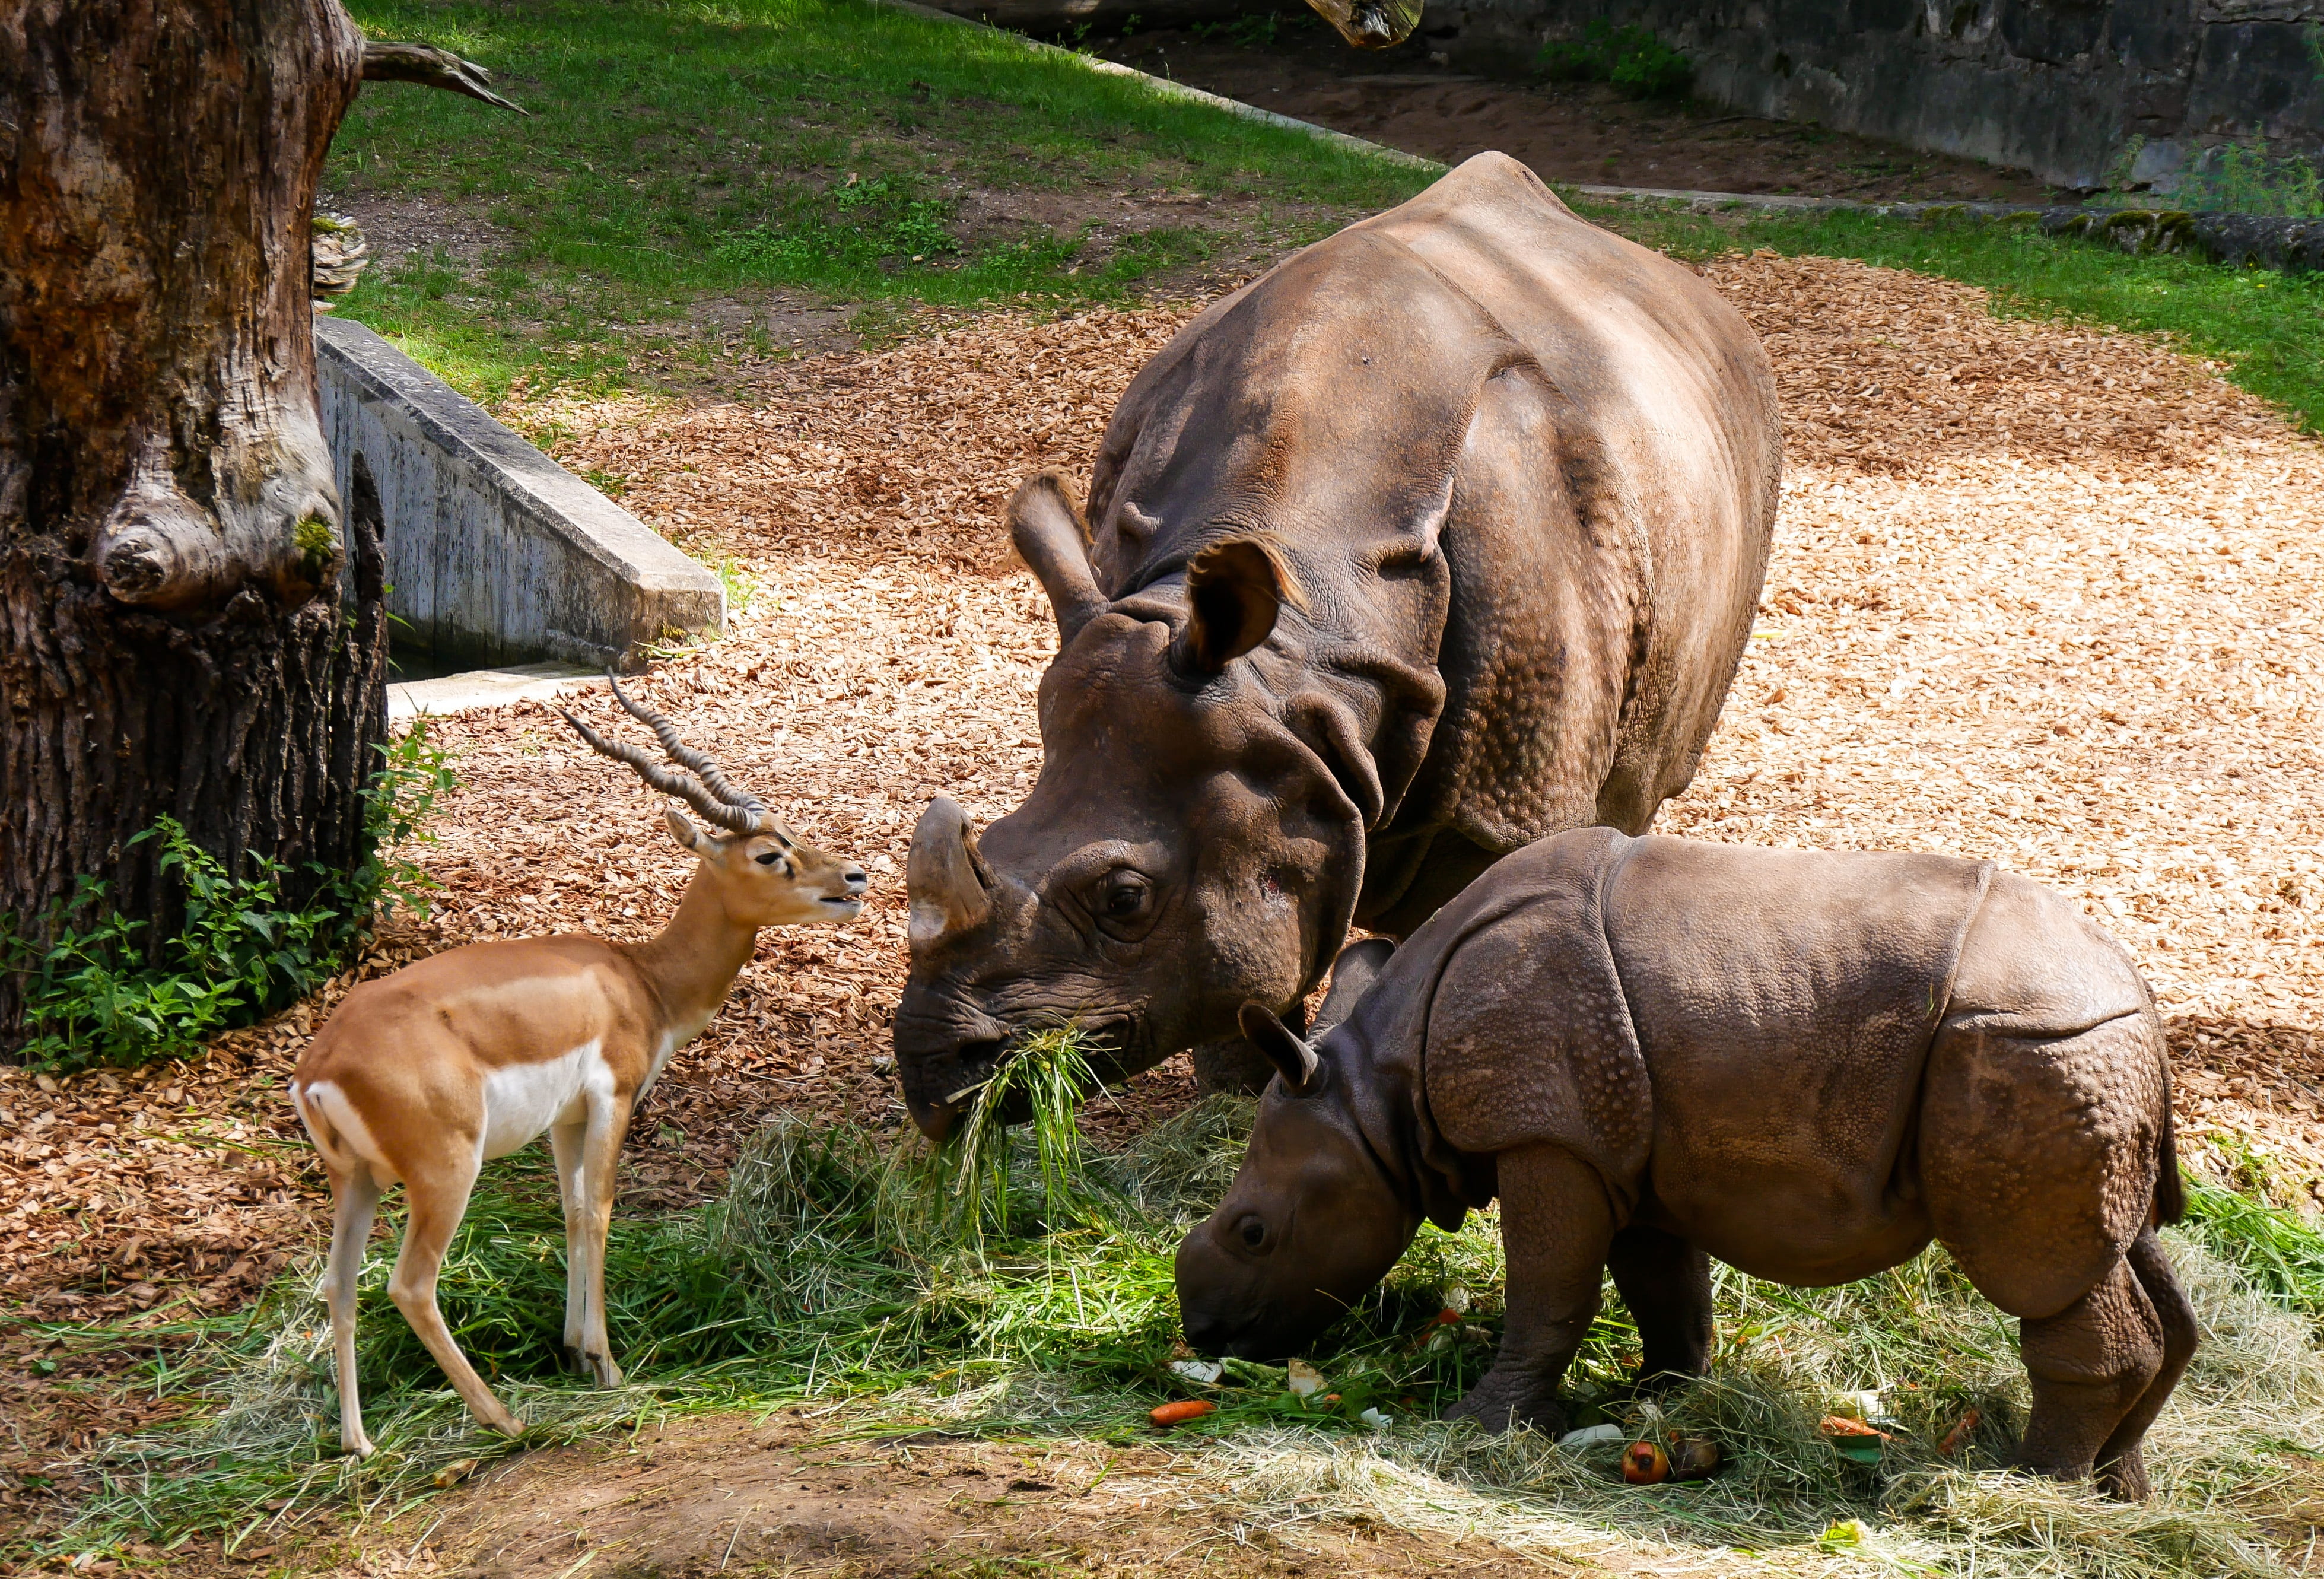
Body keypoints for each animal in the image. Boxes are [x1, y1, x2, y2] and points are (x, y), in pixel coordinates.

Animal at [290, 680, 866, 1457]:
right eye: (771, 854)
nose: (854, 877)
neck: (640, 979)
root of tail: (320, 1065)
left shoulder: (562, 1122)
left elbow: (566, 1212)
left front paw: (571, 1351)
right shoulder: (613, 1098)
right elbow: (599, 1209)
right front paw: (605, 1362)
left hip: (354, 1179)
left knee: (338, 1284)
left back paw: (359, 1443)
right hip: (445, 1172)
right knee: (409, 1285)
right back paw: (503, 1418)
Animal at [895, 153, 1781, 1138]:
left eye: (1125, 899)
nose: (931, 1070)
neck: (1309, 643)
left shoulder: (1509, 794)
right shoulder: (1257, 747)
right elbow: (1240, 966)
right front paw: (1236, 1107)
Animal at [1176, 828, 2195, 1502]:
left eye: (1254, 1233)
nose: (1201, 1331)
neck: (1381, 1094)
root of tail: (2139, 994)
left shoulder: (1550, 1135)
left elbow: (1550, 1286)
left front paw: (1481, 1426)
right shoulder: (1622, 1143)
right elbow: (1661, 1284)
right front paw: (1661, 1400)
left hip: (2028, 1049)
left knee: (2041, 1274)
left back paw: (2030, 1488)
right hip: (2085, 1060)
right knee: (2121, 1256)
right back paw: (2119, 1493)